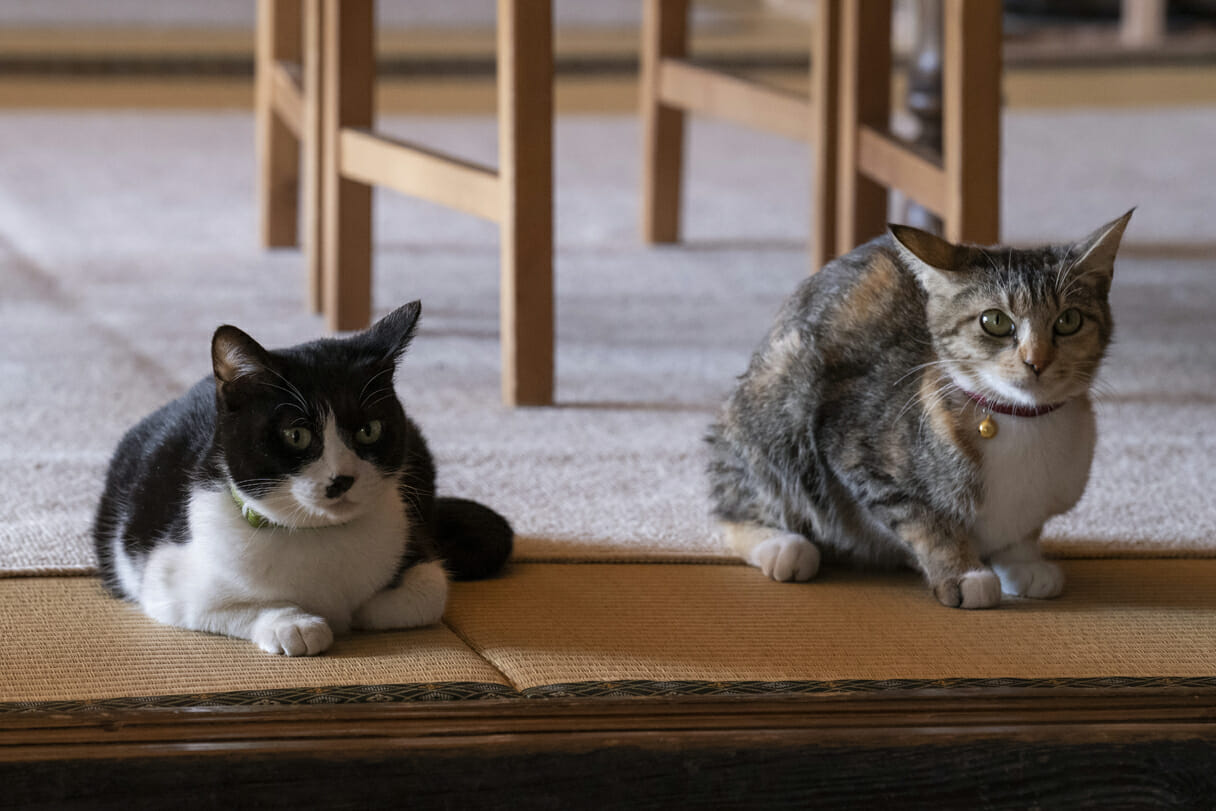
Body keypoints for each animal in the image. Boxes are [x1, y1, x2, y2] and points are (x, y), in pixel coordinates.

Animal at [92, 301, 510, 656]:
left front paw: (358, 612)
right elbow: (225, 606)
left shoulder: (413, 540)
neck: (319, 536)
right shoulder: (167, 577)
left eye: (370, 430)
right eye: (296, 435)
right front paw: (293, 625)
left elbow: (425, 595)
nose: (341, 479)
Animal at [710, 212, 1133, 605]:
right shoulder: (854, 447)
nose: (1036, 361)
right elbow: (922, 519)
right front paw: (963, 572)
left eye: (1068, 320)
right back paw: (781, 545)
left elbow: (1021, 533)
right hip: (782, 398)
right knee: (736, 498)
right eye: (995, 321)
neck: (1022, 422)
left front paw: (1024, 562)